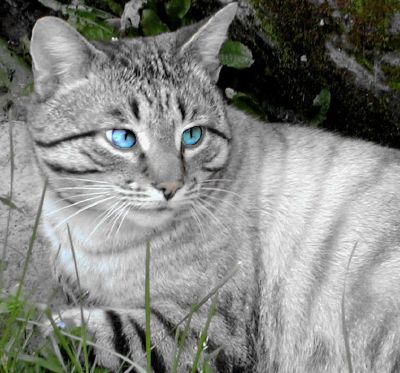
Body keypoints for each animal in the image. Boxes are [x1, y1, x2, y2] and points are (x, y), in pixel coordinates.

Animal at [25, 2, 400, 372]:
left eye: (192, 136)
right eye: (123, 138)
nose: (170, 187)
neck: (92, 232)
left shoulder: (204, 329)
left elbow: (61, 330)